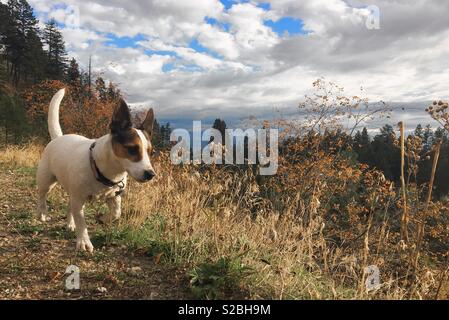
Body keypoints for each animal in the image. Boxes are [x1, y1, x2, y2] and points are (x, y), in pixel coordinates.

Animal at [36, 88, 157, 252]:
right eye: (132, 149)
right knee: (42, 196)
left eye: (151, 152)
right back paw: (42, 213)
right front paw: (84, 241)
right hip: (47, 180)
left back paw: (70, 223)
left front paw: (103, 219)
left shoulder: (114, 196)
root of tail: (58, 138)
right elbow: (81, 221)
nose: (151, 174)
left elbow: (116, 213)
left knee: (69, 206)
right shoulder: (79, 199)